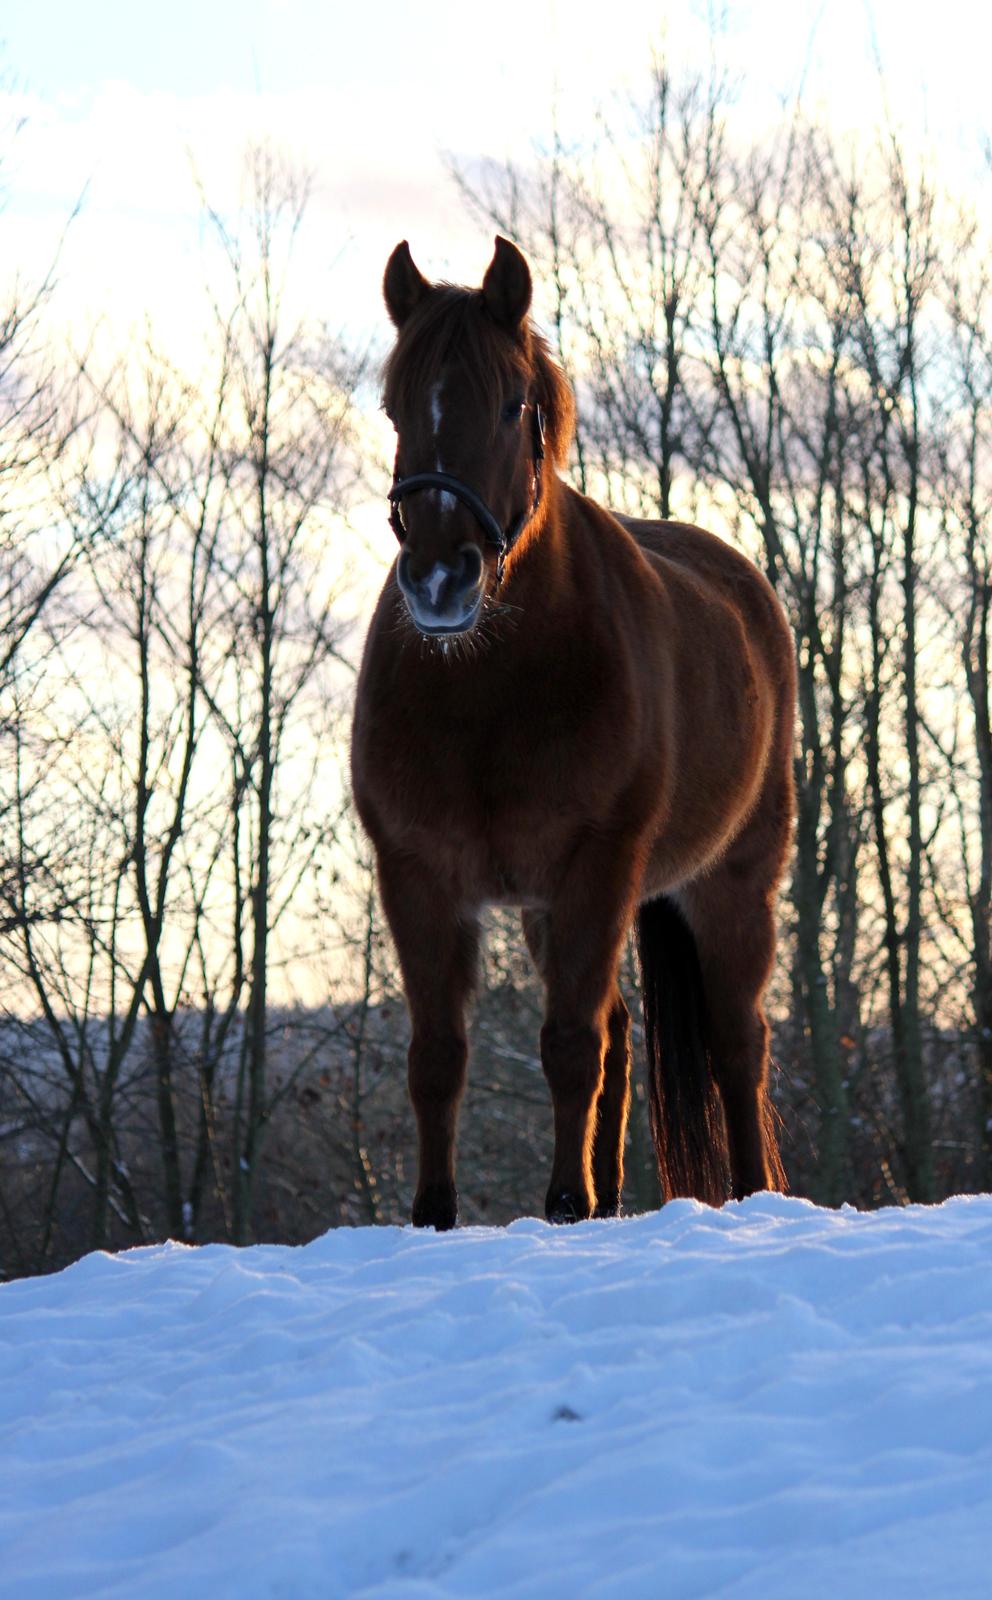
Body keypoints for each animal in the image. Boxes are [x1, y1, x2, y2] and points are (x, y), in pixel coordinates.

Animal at [352, 233, 793, 1222]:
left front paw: (562, 1205)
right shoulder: (420, 876)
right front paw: (435, 1217)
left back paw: (748, 1198)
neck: (484, 698)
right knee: (624, 1034)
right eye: (396, 407)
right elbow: (438, 1058)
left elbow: (567, 1046)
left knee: (735, 1045)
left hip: (732, 885)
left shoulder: (597, 867)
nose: (440, 580)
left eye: (512, 403)